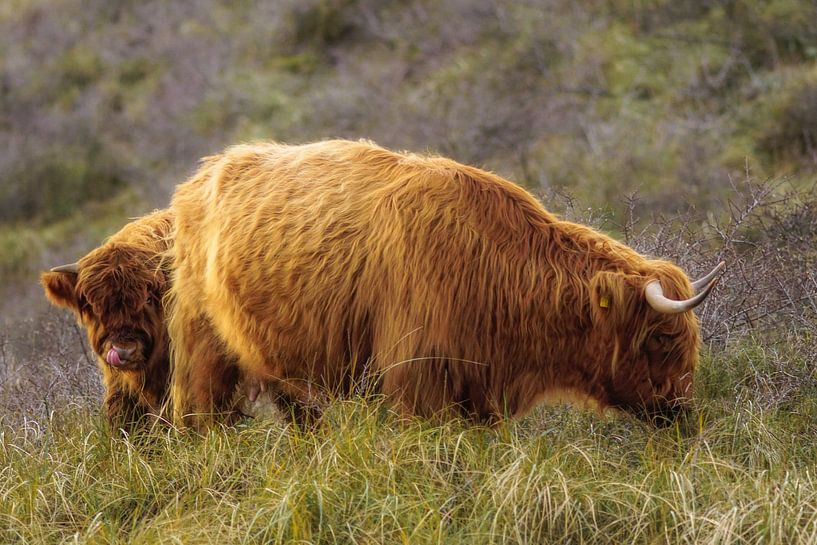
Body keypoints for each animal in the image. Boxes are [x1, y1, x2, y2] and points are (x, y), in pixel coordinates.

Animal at [167, 141, 720, 430]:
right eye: (661, 339)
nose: (682, 412)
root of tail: (204, 172)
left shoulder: (478, 394)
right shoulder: (418, 380)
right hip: (203, 343)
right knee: (200, 407)